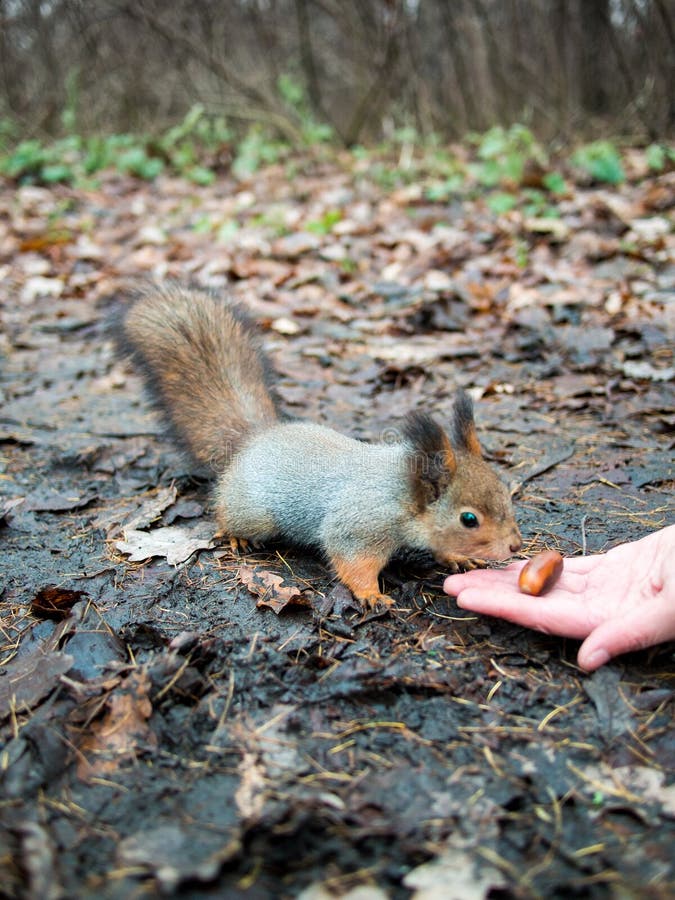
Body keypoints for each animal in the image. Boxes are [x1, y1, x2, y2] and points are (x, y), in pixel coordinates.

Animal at [118, 284, 522, 610]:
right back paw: (235, 535)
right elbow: (352, 562)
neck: (401, 492)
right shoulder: (358, 526)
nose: (516, 546)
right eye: (468, 519)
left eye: (506, 492)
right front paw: (371, 594)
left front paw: (456, 557)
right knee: (226, 514)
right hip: (253, 512)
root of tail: (256, 439)